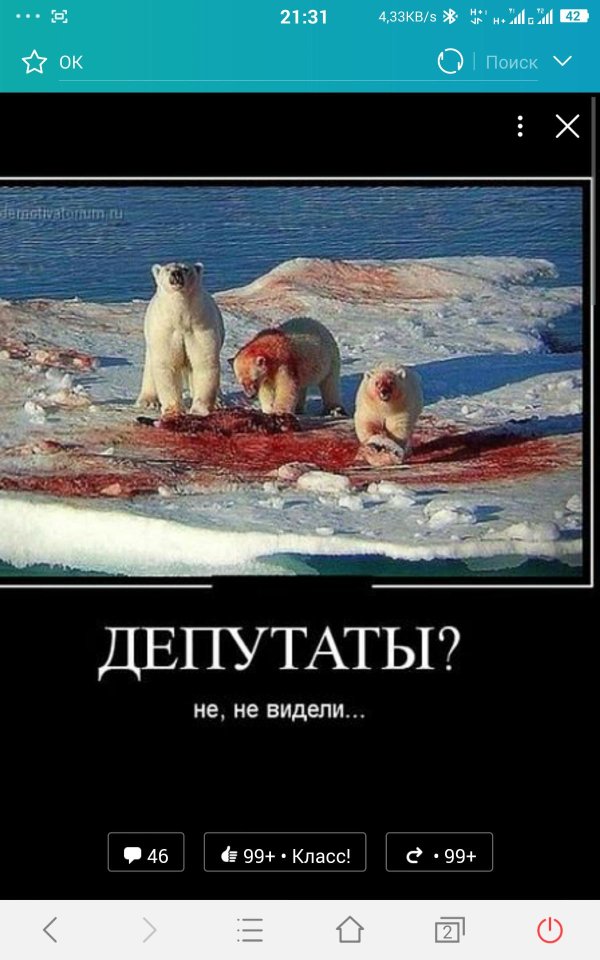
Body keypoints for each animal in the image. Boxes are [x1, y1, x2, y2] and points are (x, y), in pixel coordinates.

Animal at [136, 261, 225, 417]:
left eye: (185, 269)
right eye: (167, 269)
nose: (176, 273)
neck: (181, 321)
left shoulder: (200, 329)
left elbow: (203, 363)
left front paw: (199, 410)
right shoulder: (166, 332)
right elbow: (168, 365)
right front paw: (174, 411)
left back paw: (218, 402)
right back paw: (148, 401)